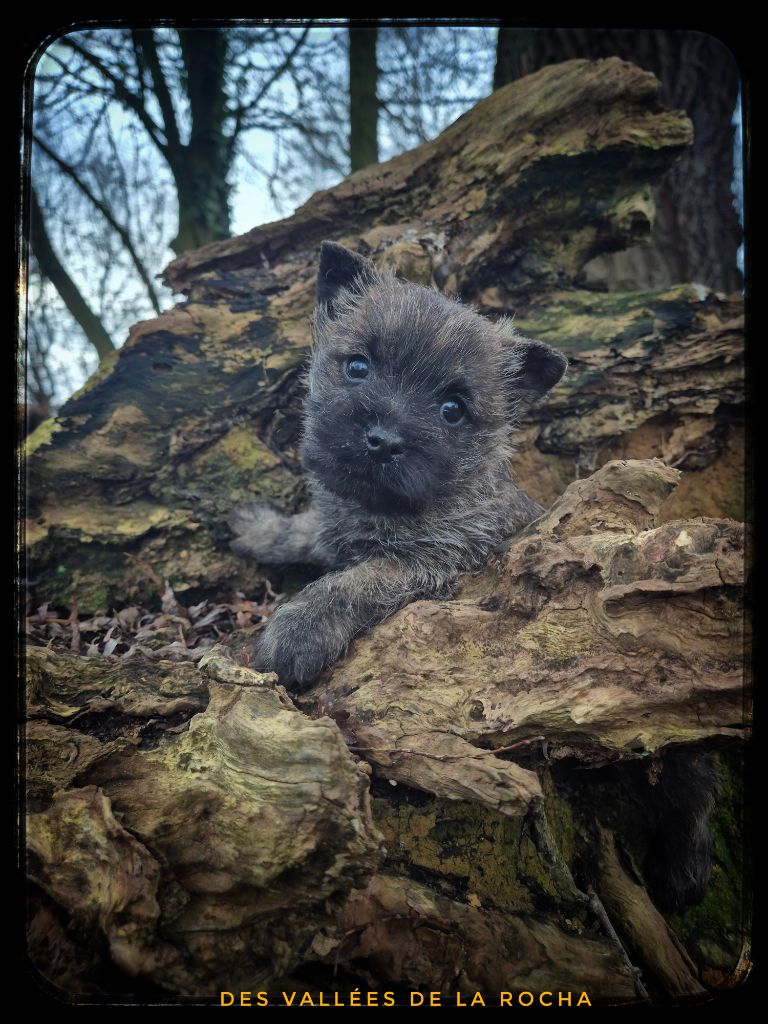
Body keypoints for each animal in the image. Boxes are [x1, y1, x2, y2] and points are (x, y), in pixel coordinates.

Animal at [231, 241, 569, 688]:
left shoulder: (439, 560)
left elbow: (361, 580)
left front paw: (296, 630)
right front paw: (259, 529)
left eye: (452, 409)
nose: (382, 442)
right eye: (358, 366)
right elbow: (304, 530)